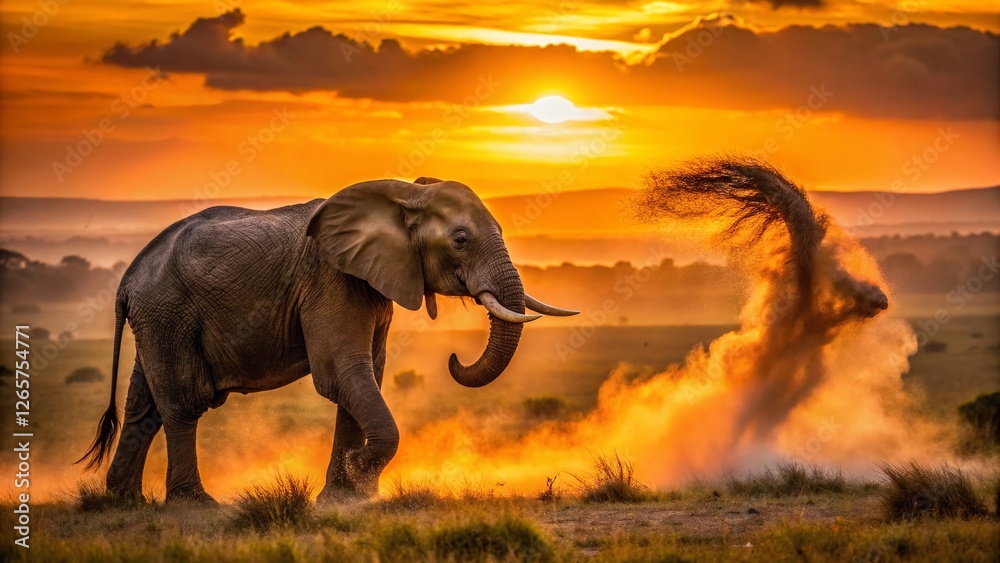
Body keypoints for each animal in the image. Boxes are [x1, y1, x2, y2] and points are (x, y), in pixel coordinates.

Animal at [78, 177, 577, 503]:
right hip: (168, 312)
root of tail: (128, 278)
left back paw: (123, 502)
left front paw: (347, 497)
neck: (403, 194)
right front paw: (357, 474)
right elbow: (344, 374)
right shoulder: (331, 281)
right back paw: (194, 506)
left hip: (158, 319)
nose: (454, 358)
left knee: (145, 406)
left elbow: (364, 375)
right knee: (182, 402)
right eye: (460, 239)